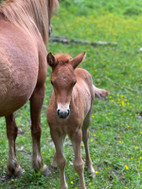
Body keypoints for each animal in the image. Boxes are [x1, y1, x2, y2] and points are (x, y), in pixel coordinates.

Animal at [0, 0, 58, 176]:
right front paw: (40, 165)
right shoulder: (39, 89)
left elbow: (11, 129)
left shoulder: (11, 99)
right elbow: (36, 128)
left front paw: (14, 167)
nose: (51, 29)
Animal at [47, 52, 108, 189]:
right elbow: (62, 161)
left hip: (87, 118)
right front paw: (63, 185)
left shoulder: (76, 132)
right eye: (52, 82)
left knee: (86, 136)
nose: (63, 112)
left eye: (74, 82)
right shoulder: (54, 131)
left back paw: (91, 169)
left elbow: (78, 164)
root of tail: (81, 69)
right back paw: (53, 162)